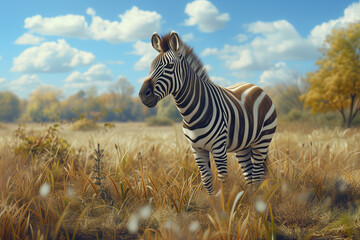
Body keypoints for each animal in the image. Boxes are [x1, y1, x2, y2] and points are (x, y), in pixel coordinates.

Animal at [139, 31, 278, 194]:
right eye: (151, 66)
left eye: (170, 66)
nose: (143, 94)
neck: (190, 113)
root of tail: (255, 86)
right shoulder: (197, 149)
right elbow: (206, 179)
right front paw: (212, 201)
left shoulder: (218, 148)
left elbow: (223, 180)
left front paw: (225, 201)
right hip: (244, 146)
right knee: (249, 175)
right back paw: (252, 197)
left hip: (262, 140)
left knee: (257, 174)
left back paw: (257, 198)